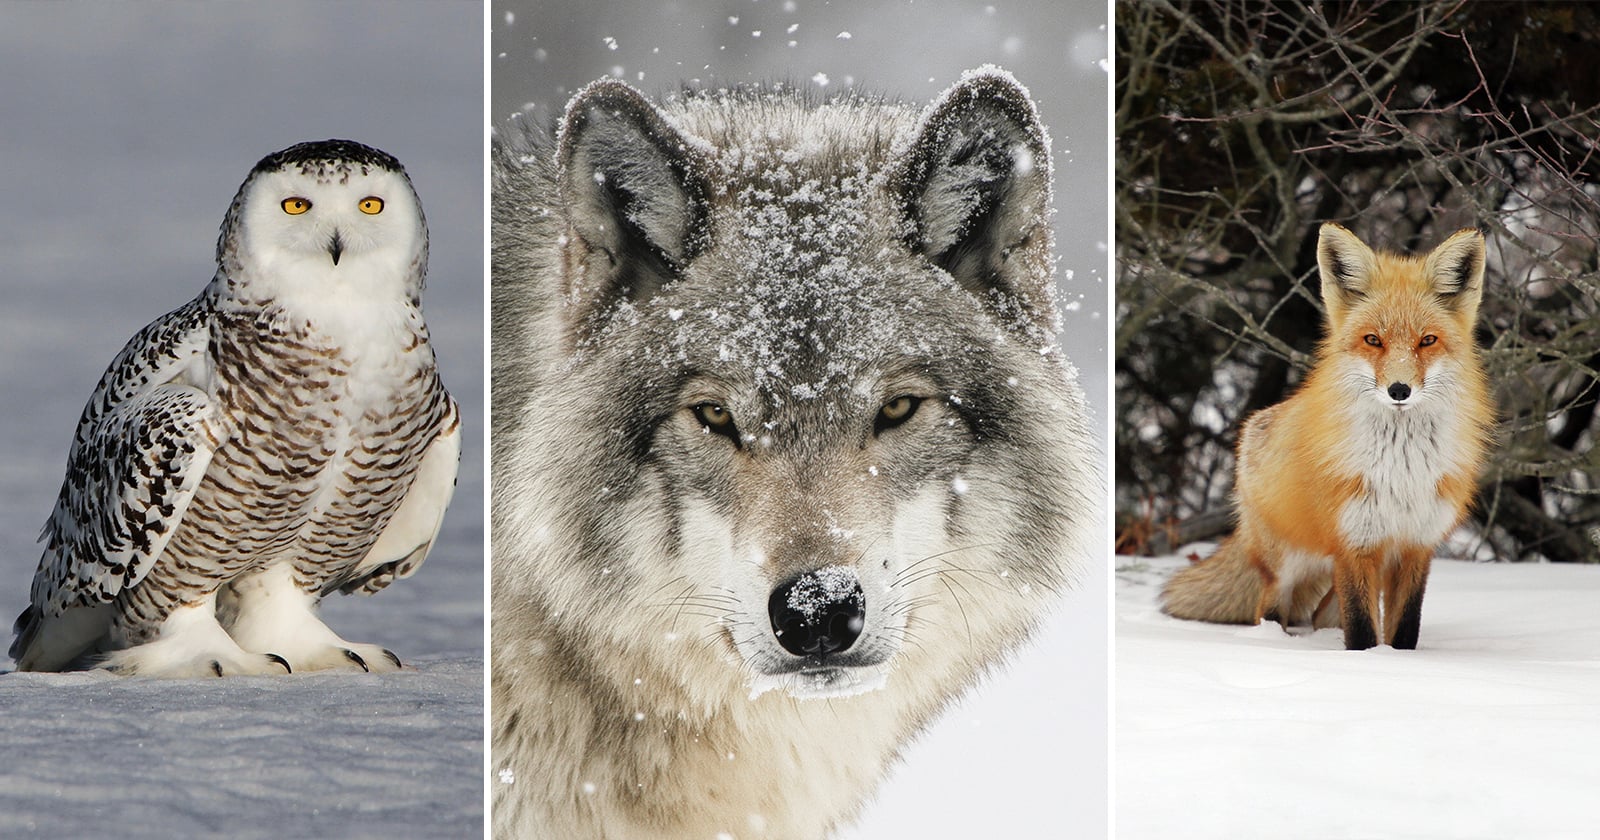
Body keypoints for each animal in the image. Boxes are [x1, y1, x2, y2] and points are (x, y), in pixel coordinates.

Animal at [1161, 222, 1494, 650]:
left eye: (1427, 340)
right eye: (1373, 340)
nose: (1399, 390)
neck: (1401, 470)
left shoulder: (1416, 546)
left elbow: (1404, 630)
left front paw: (1399, 661)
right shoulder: (1353, 544)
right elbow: (1363, 632)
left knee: (1321, 615)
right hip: (1288, 564)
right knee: (1270, 609)